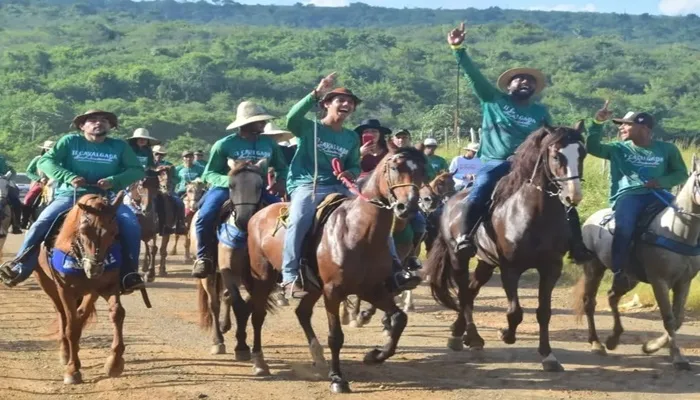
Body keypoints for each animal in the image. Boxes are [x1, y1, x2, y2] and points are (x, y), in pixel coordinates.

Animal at [32, 193, 129, 384]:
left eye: (114, 232)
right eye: (84, 231)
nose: (95, 269)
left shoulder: (105, 286)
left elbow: (116, 313)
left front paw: (114, 362)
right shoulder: (65, 290)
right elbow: (71, 326)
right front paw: (72, 369)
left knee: (80, 314)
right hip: (46, 283)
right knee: (62, 314)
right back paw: (65, 352)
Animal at [196, 159, 270, 356]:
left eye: (259, 185)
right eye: (230, 185)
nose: (244, 220)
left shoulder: (256, 277)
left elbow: (248, 305)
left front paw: (242, 342)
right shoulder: (227, 270)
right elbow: (238, 304)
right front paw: (242, 346)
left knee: (226, 296)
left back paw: (225, 325)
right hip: (209, 275)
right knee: (214, 303)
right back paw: (218, 340)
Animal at [243, 144, 430, 394]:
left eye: (422, 170)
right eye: (394, 166)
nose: (407, 207)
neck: (358, 231)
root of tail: (257, 215)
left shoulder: (372, 289)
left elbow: (399, 319)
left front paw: (375, 355)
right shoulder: (333, 291)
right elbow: (335, 337)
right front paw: (337, 379)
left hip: (313, 288)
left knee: (302, 313)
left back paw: (318, 356)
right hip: (263, 277)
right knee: (258, 315)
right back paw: (259, 362)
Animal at [424, 123, 588, 374]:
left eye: (582, 153)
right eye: (556, 155)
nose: (573, 196)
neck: (534, 213)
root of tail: (450, 202)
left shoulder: (551, 268)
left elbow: (544, 312)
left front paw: (548, 356)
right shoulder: (510, 268)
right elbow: (515, 311)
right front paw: (506, 334)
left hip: (485, 262)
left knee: (471, 291)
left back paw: (463, 334)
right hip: (459, 258)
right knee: (463, 293)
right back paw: (467, 336)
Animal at [572, 155, 700, 370]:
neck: (679, 232)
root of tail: (591, 219)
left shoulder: (684, 282)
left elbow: (678, 319)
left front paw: (651, 346)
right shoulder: (659, 281)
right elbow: (669, 319)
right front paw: (676, 357)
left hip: (629, 278)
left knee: (612, 297)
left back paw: (613, 339)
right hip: (594, 268)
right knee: (590, 303)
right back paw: (597, 343)